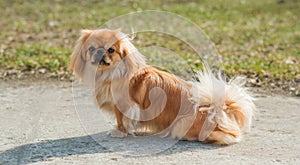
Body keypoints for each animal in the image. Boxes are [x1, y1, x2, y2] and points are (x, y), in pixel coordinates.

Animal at [69, 28, 255, 144]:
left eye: (110, 50)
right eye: (91, 49)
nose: (99, 53)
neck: (110, 73)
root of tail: (218, 111)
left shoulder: (125, 106)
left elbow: (122, 120)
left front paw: (119, 132)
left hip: (183, 124)